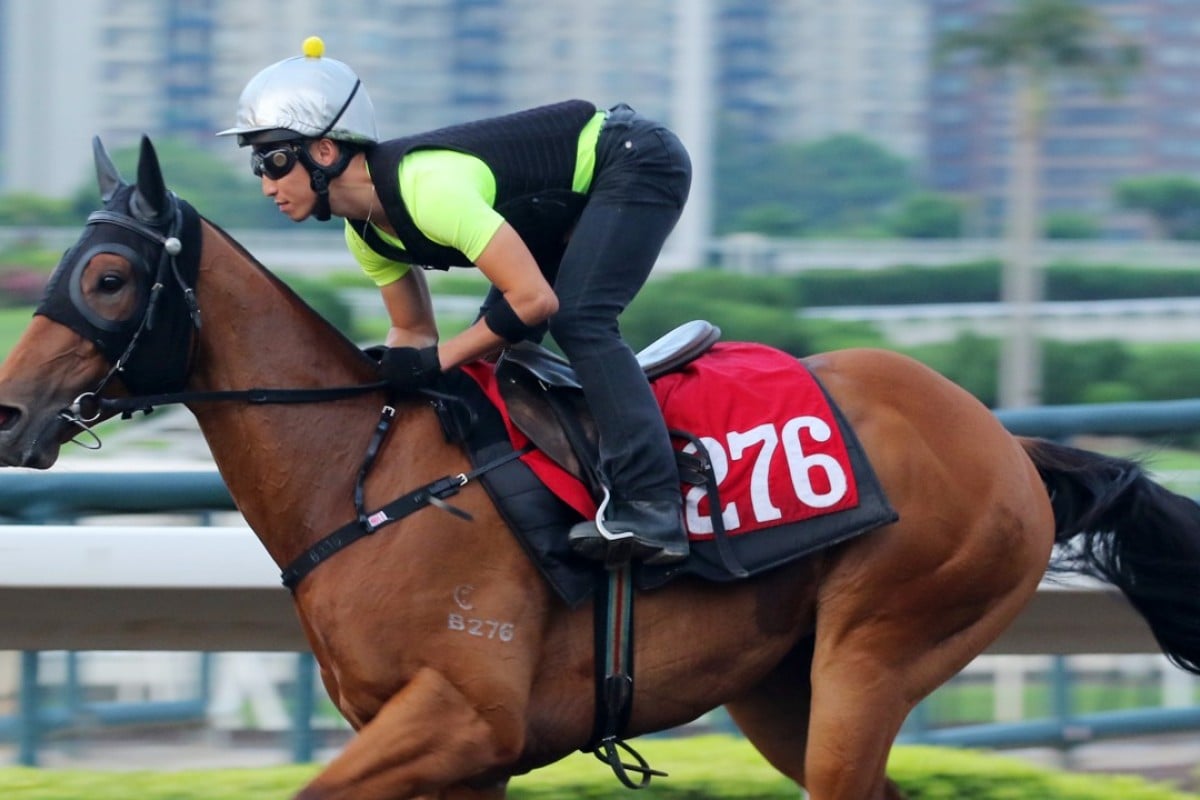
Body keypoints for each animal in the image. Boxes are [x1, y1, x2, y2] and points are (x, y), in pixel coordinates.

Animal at [2, 137, 1200, 800]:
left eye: (106, 276)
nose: (10, 412)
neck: (369, 477)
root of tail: (1003, 439)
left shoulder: (460, 720)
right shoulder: (460, 758)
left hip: (883, 647)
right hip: (785, 687)